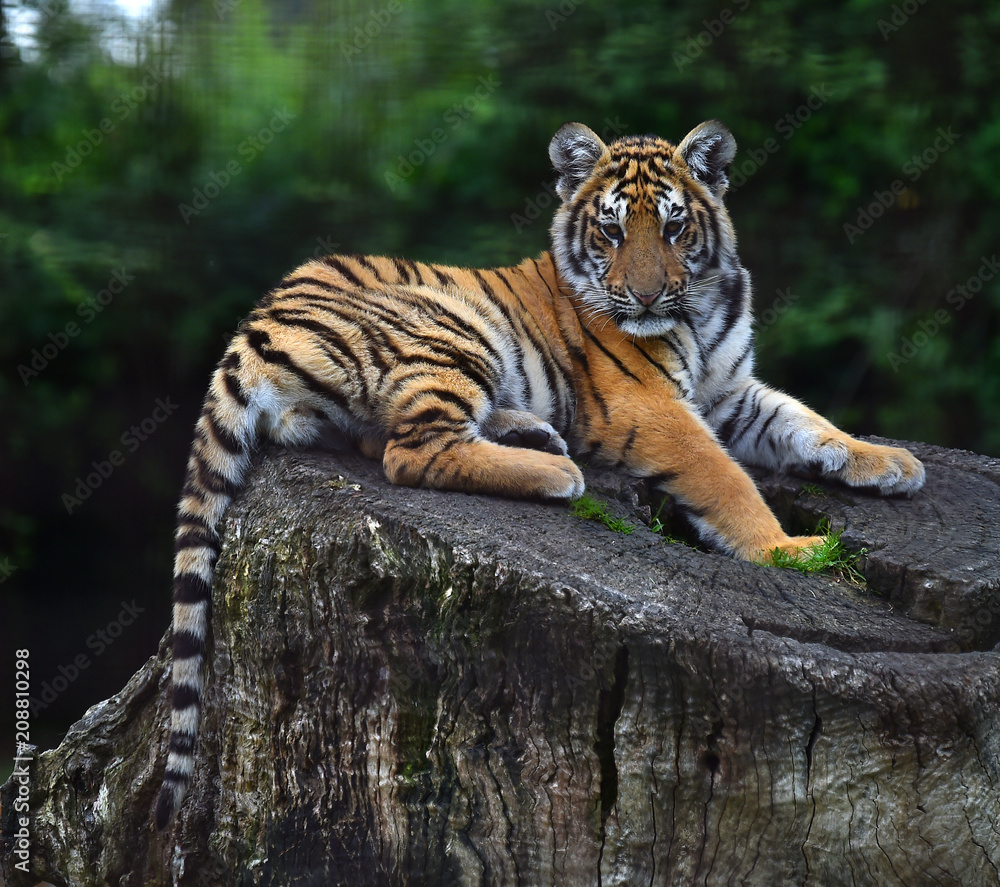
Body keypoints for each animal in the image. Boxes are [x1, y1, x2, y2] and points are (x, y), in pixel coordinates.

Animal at [155, 119, 925, 828]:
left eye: (674, 227)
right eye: (611, 232)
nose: (646, 298)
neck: (702, 313)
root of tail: (252, 325)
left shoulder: (730, 392)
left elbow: (805, 420)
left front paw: (890, 463)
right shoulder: (652, 408)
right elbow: (725, 476)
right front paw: (788, 550)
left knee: (383, 440)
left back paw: (529, 430)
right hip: (450, 324)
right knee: (413, 449)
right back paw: (554, 469)